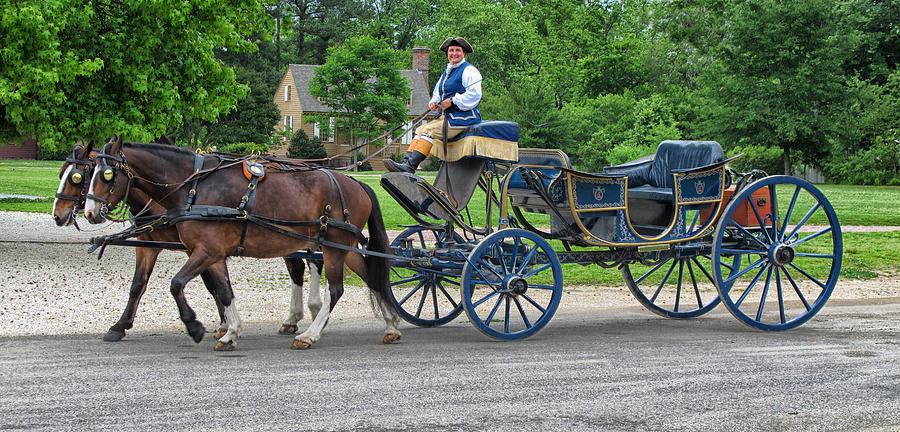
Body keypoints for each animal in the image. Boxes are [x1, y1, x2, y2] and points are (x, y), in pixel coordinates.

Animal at [52, 142, 324, 344]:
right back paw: (294, 318)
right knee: (298, 269)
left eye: (77, 176)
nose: (58, 214)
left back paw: (311, 309)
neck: (187, 188)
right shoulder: (147, 242)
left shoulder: (201, 248)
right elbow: (138, 285)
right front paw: (120, 326)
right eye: (61, 173)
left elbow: (207, 285)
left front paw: (212, 324)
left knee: (313, 266)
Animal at [82, 137, 400, 350]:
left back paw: (309, 334)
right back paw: (391, 324)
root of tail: (354, 182)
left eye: (106, 174)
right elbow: (224, 291)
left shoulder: (206, 250)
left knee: (336, 289)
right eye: (88, 173)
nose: (90, 212)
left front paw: (194, 326)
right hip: (344, 245)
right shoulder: (213, 254)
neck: (194, 188)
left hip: (334, 245)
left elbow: (176, 284)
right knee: (372, 276)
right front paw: (230, 332)